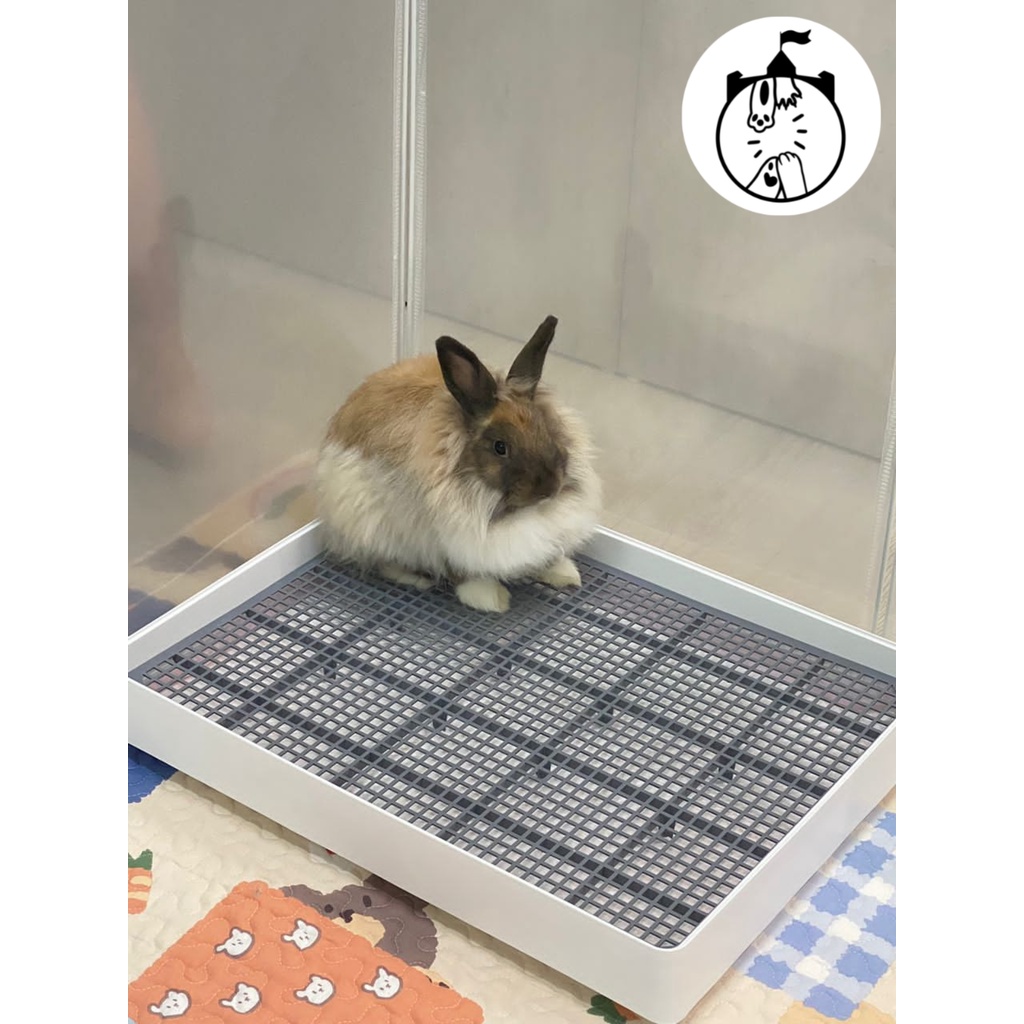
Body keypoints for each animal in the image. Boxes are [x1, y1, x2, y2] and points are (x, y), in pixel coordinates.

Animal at [315, 315, 601, 613]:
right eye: (500, 447)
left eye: (546, 429)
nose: (549, 488)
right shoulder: (442, 538)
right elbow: (460, 571)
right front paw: (490, 598)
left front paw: (565, 573)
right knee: (384, 562)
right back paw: (417, 578)